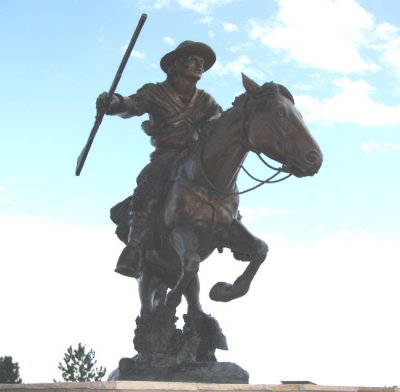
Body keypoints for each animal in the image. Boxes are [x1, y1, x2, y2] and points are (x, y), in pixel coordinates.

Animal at [136, 72, 324, 318]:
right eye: (281, 112)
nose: (315, 158)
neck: (209, 182)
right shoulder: (178, 231)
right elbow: (191, 264)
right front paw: (168, 305)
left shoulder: (227, 229)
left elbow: (260, 249)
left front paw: (223, 290)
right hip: (147, 275)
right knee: (148, 304)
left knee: (192, 294)